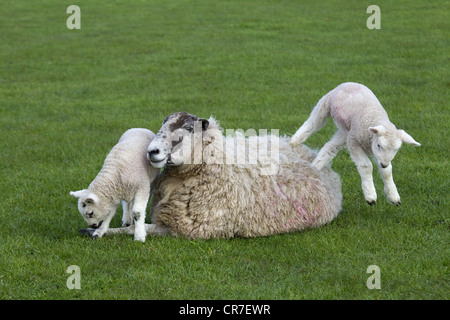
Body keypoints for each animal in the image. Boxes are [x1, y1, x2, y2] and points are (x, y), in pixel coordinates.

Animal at [290, 82, 420, 206]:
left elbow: (387, 172)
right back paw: (293, 142)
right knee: (312, 124)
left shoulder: (376, 153)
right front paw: (370, 196)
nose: (383, 164)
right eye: (379, 145)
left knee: (330, 147)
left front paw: (393, 197)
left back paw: (315, 167)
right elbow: (366, 166)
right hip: (325, 105)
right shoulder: (354, 143)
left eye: (396, 150)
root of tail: (350, 83)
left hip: (345, 132)